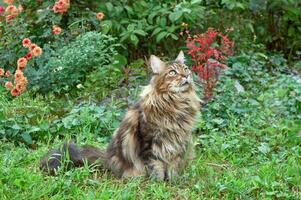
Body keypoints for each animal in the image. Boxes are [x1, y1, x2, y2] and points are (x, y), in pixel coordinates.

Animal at [39, 50, 199, 180]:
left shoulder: (177, 143)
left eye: (185, 69)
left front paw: (173, 181)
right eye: (172, 72)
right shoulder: (150, 144)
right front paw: (159, 184)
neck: (176, 104)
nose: (186, 75)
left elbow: (173, 168)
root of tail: (107, 159)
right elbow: (157, 168)